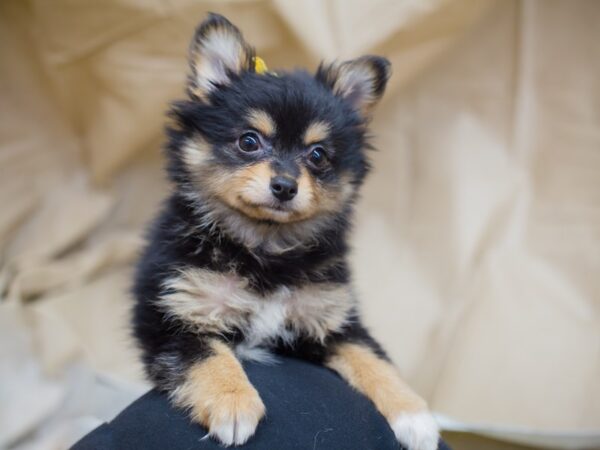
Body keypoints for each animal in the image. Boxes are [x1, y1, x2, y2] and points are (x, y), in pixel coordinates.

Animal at [132, 14, 436, 450]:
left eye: (318, 155)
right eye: (248, 141)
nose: (285, 186)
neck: (264, 247)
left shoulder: (330, 320)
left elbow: (372, 356)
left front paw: (414, 413)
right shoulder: (176, 314)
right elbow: (208, 356)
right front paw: (233, 402)